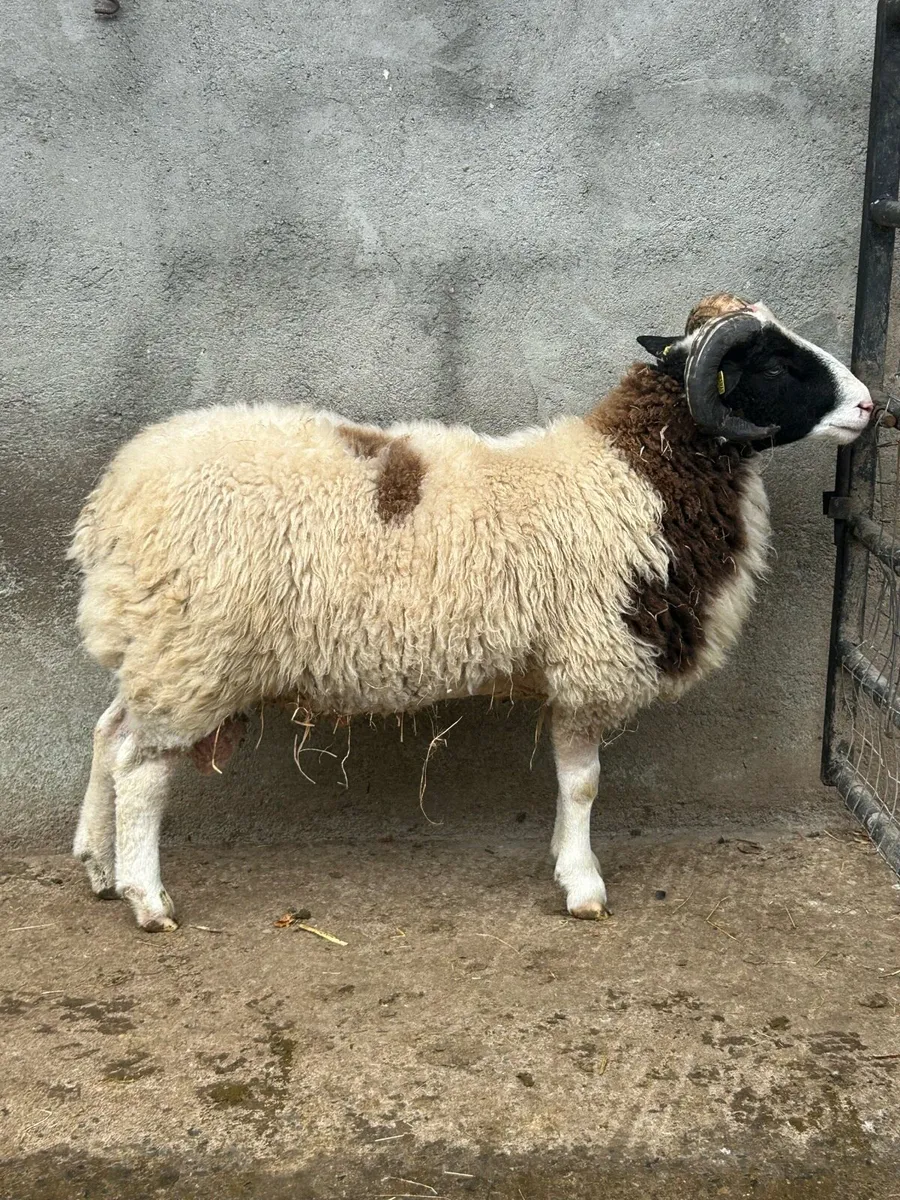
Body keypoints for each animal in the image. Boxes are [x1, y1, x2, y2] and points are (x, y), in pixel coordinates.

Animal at [69, 293, 873, 931]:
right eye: (774, 366)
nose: (870, 404)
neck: (637, 474)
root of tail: (114, 499)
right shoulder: (589, 658)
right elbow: (583, 782)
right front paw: (583, 886)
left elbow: (568, 784)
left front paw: (562, 857)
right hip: (192, 653)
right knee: (141, 771)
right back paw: (149, 901)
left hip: (156, 648)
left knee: (109, 735)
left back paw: (98, 868)